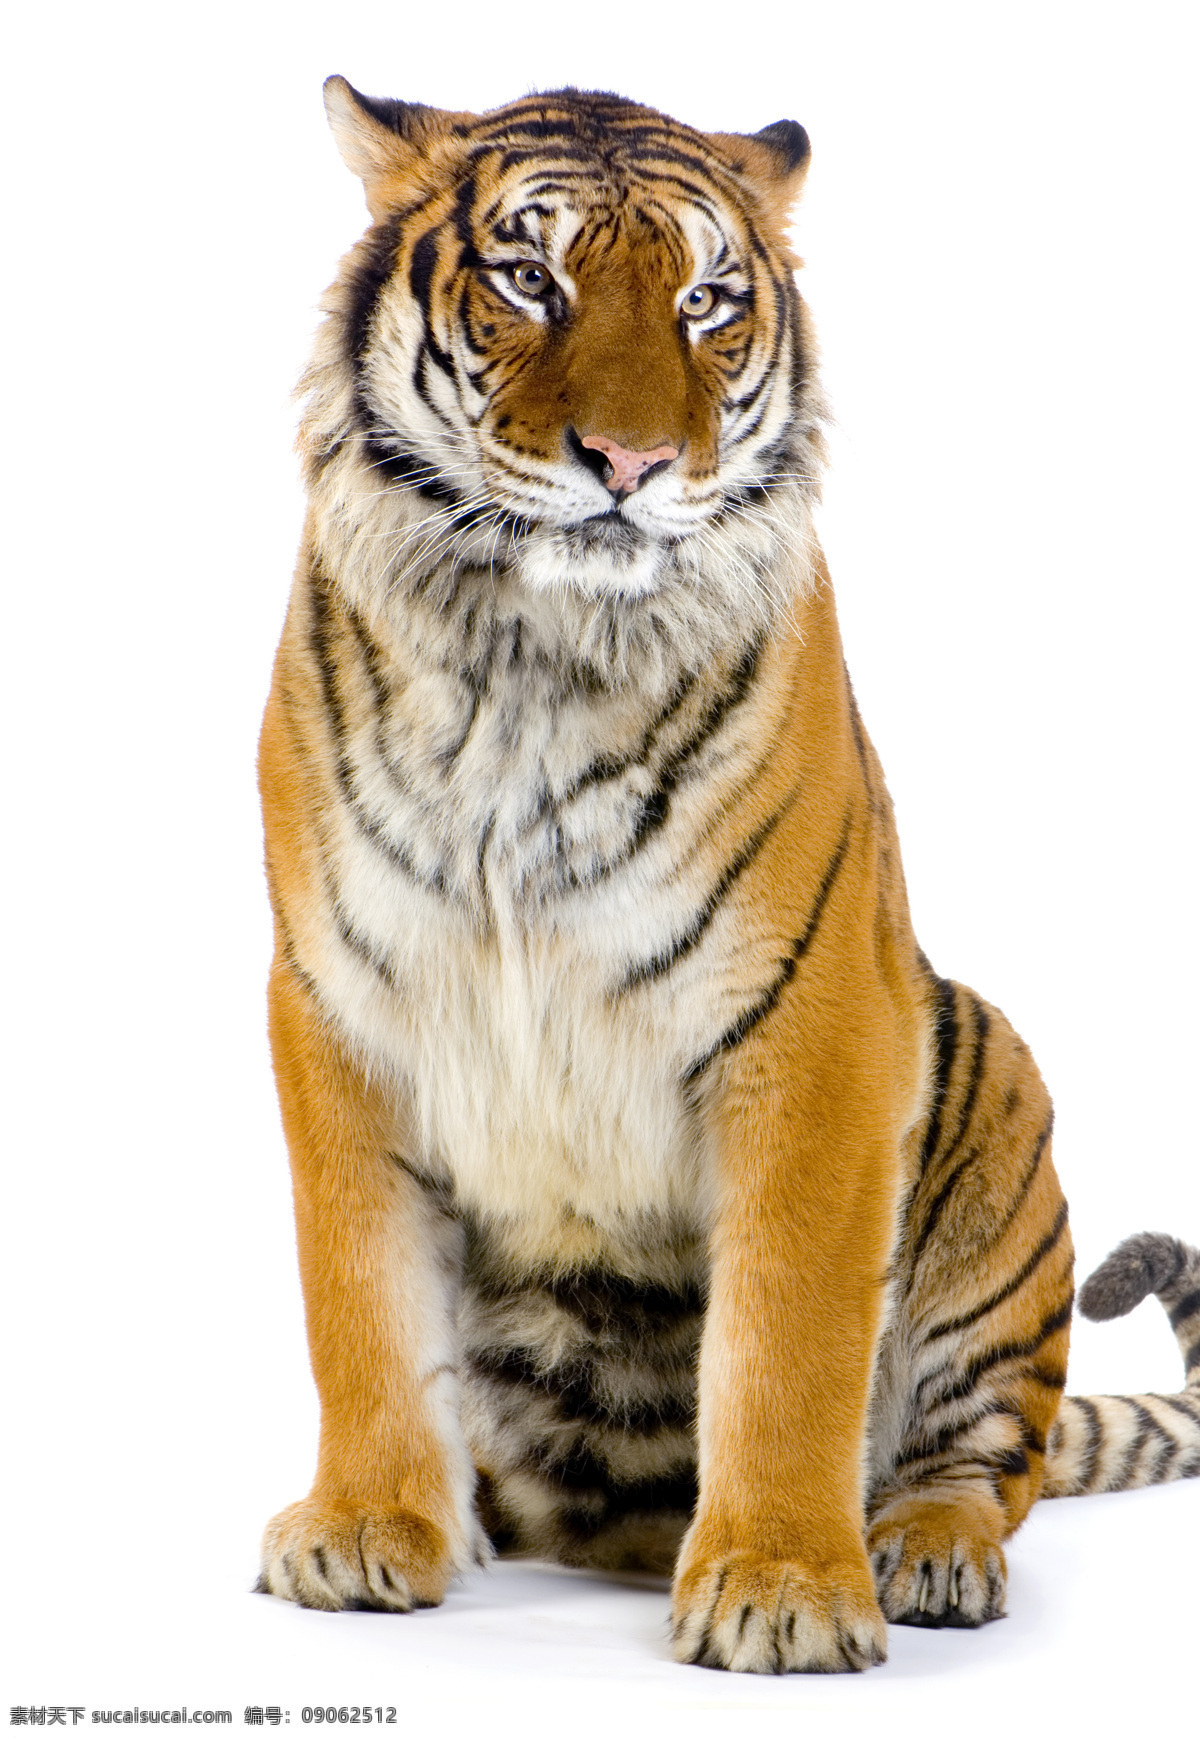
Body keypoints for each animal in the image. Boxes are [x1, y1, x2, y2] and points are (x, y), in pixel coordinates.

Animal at [255, 78, 1200, 1673]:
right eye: (531, 278)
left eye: (704, 301)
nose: (631, 466)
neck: (536, 657)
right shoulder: (341, 1008)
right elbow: (361, 1302)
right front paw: (367, 1527)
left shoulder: (813, 1031)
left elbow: (788, 1339)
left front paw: (781, 1583)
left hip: (988, 1081)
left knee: (986, 1453)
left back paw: (922, 1551)